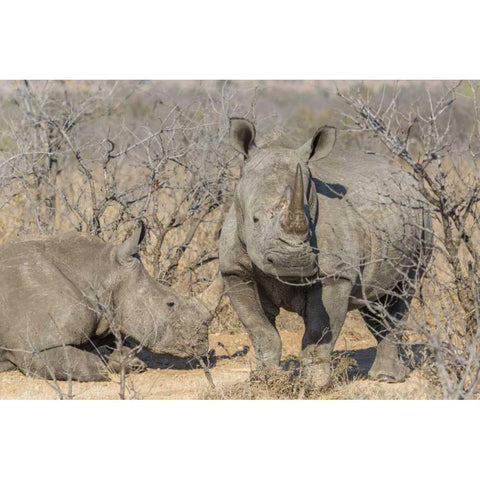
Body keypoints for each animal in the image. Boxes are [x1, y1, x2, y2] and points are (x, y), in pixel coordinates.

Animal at [0, 225, 212, 382]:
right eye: (170, 304)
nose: (203, 342)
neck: (100, 271)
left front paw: (130, 362)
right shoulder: (36, 347)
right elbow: (90, 365)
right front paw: (104, 363)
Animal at [219, 118, 434, 384]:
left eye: (310, 219)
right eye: (255, 219)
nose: (292, 263)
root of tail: (409, 179)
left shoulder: (336, 274)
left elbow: (318, 332)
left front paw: (313, 385)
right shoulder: (234, 271)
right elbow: (260, 329)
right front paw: (264, 379)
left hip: (423, 220)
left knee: (402, 292)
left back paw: (386, 378)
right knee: (374, 302)